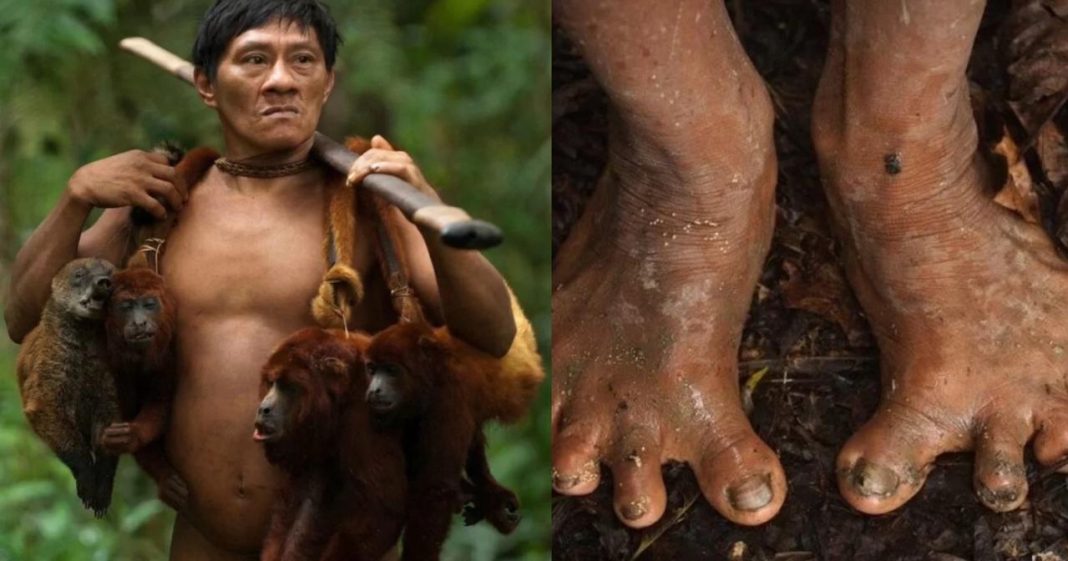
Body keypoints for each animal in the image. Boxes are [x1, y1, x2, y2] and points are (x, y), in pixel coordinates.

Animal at [363, 318, 542, 559]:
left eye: (391, 370)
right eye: (372, 370)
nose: (374, 390)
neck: (434, 371)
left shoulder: (450, 397)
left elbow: (436, 489)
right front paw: (484, 495)